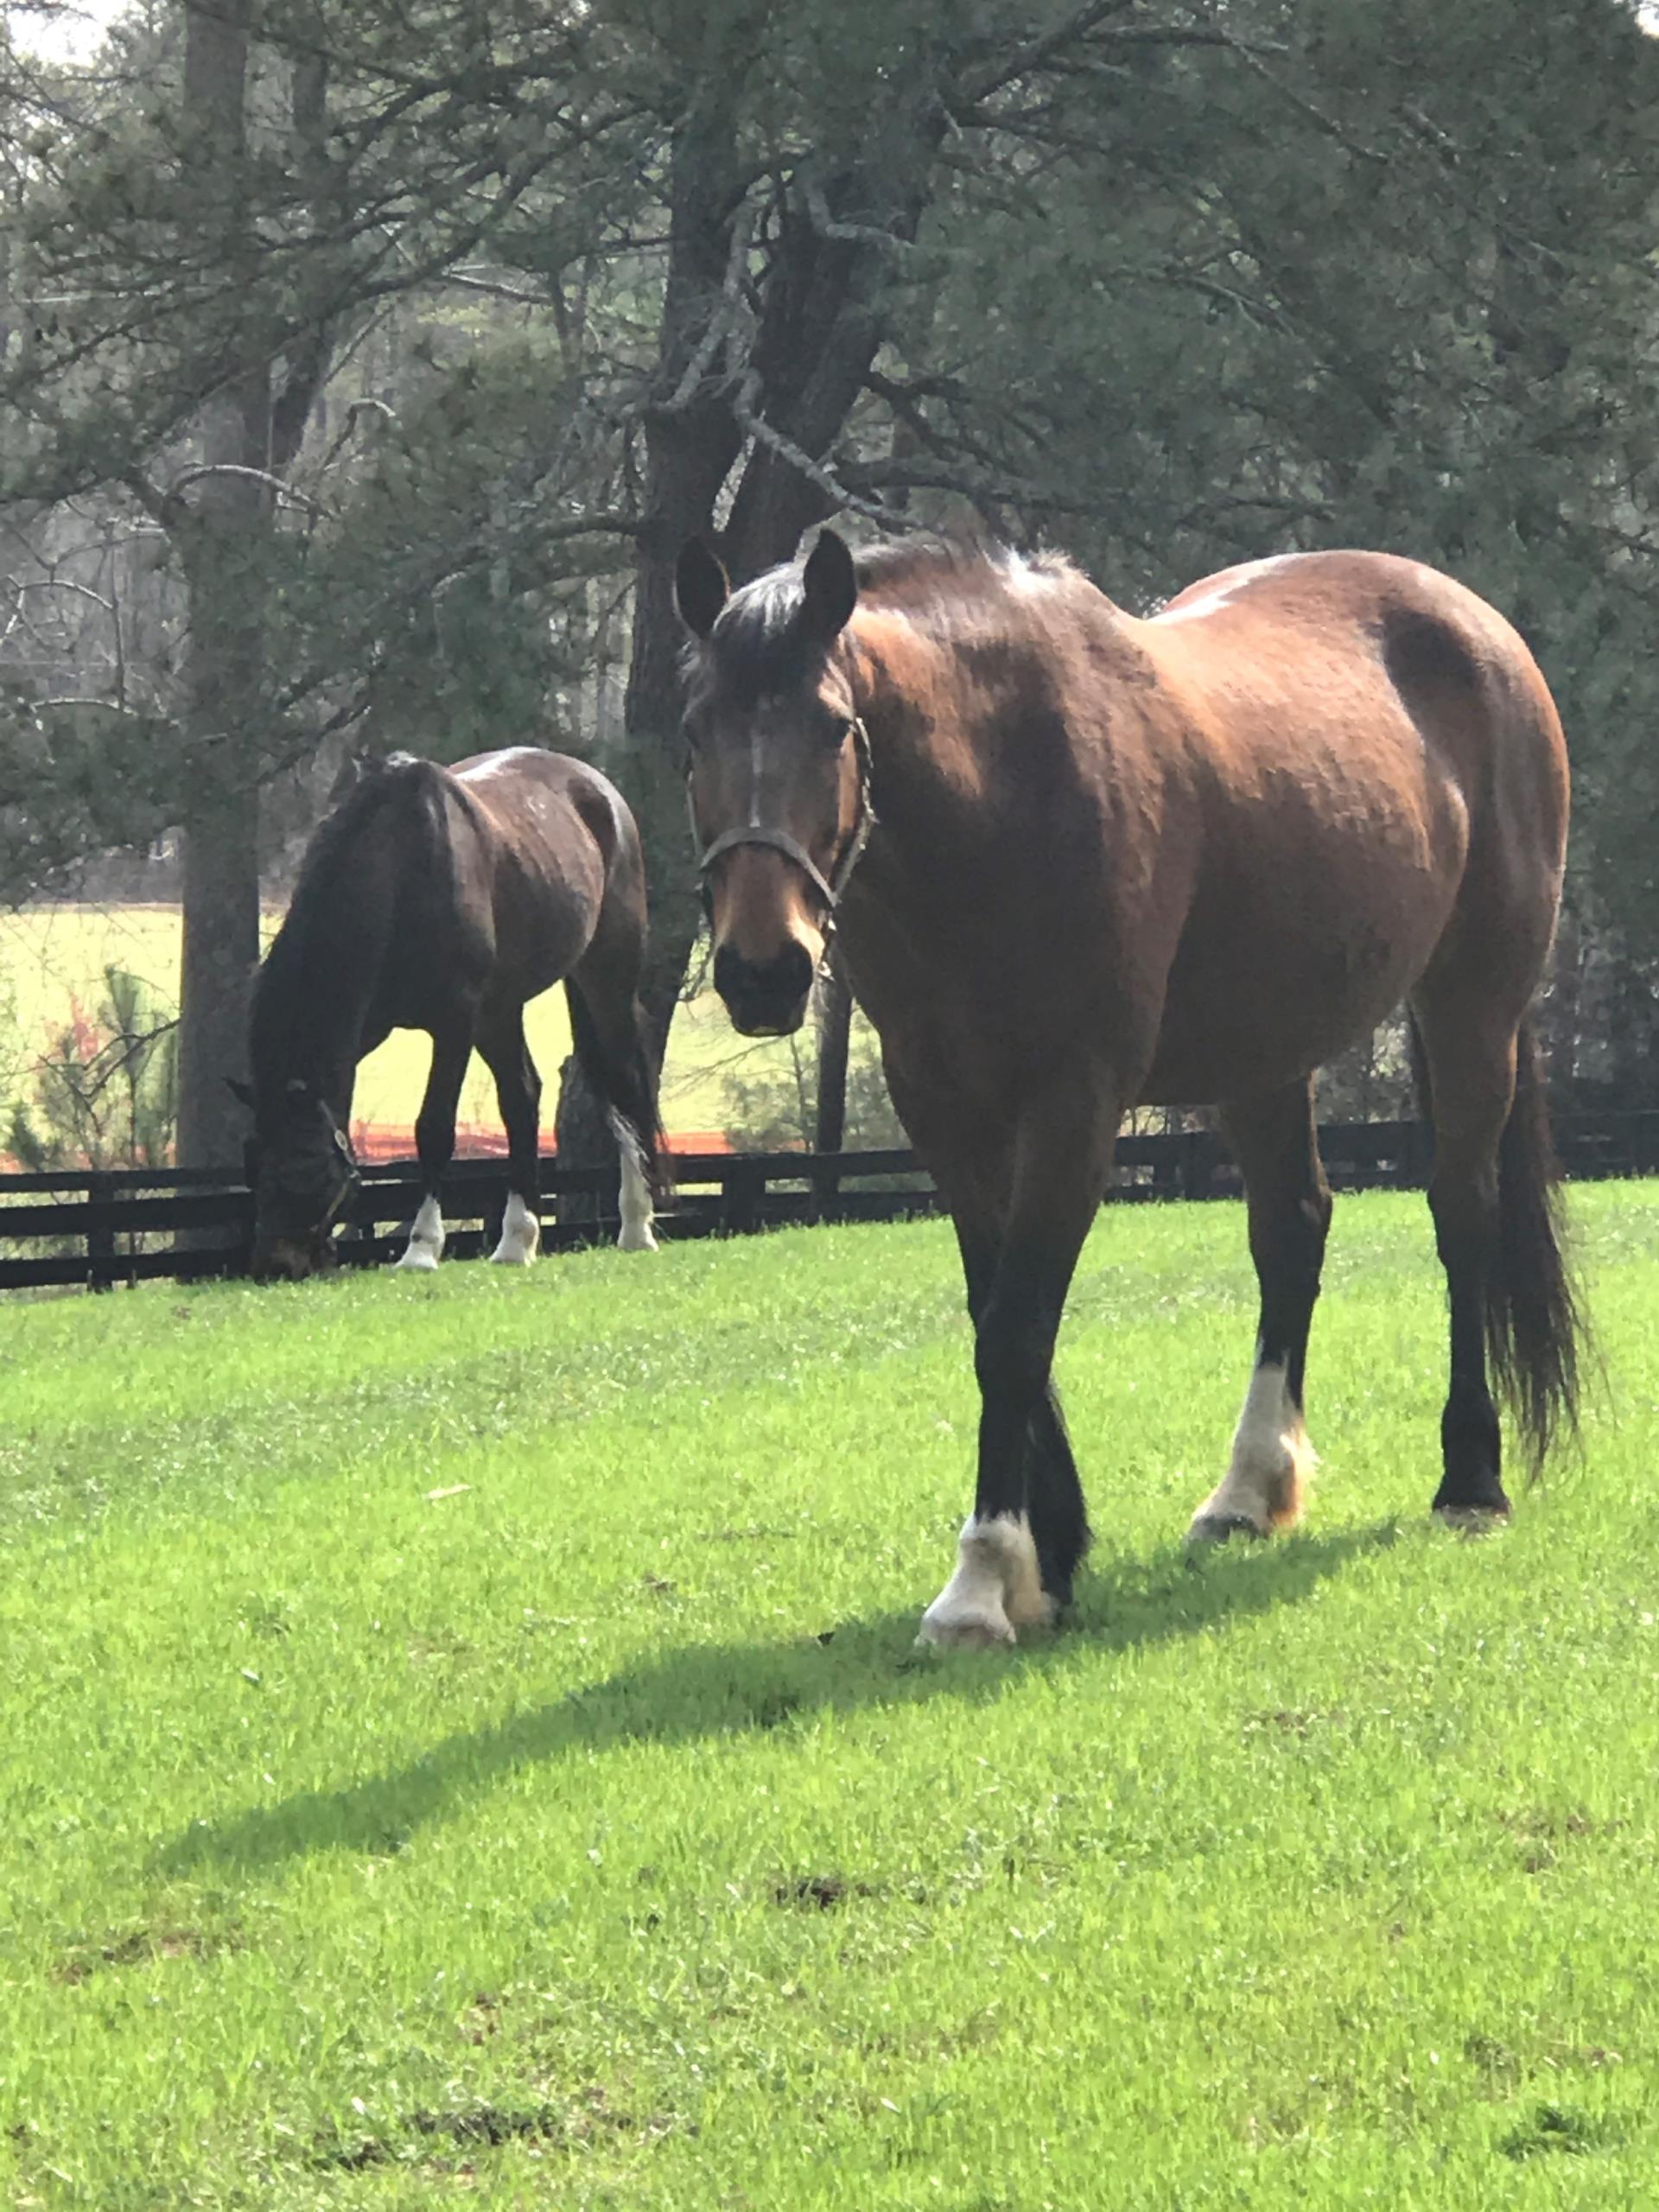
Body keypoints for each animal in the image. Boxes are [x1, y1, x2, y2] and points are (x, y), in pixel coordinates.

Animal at [239, 756, 668, 1292]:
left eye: (304, 1172)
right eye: (252, 1166)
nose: (274, 1265)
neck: (401, 870)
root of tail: (599, 788)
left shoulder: (454, 1024)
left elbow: (434, 1127)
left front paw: (421, 1249)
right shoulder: (374, 1030)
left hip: (605, 980)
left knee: (625, 1084)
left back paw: (636, 1227)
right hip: (500, 1010)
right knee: (522, 1097)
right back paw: (516, 1242)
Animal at [677, 531, 1583, 1645]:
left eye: (834, 726)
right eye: (695, 732)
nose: (763, 969)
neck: (1002, 795)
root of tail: (1479, 625)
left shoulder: (1075, 1105)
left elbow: (1016, 1332)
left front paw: (984, 1580)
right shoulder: (947, 1116)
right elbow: (997, 1314)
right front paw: (1052, 1554)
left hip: (1473, 1004)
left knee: (1463, 1217)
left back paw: (1469, 1480)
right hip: (1265, 1051)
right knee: (1292, 1232)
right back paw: (1248, 1490)